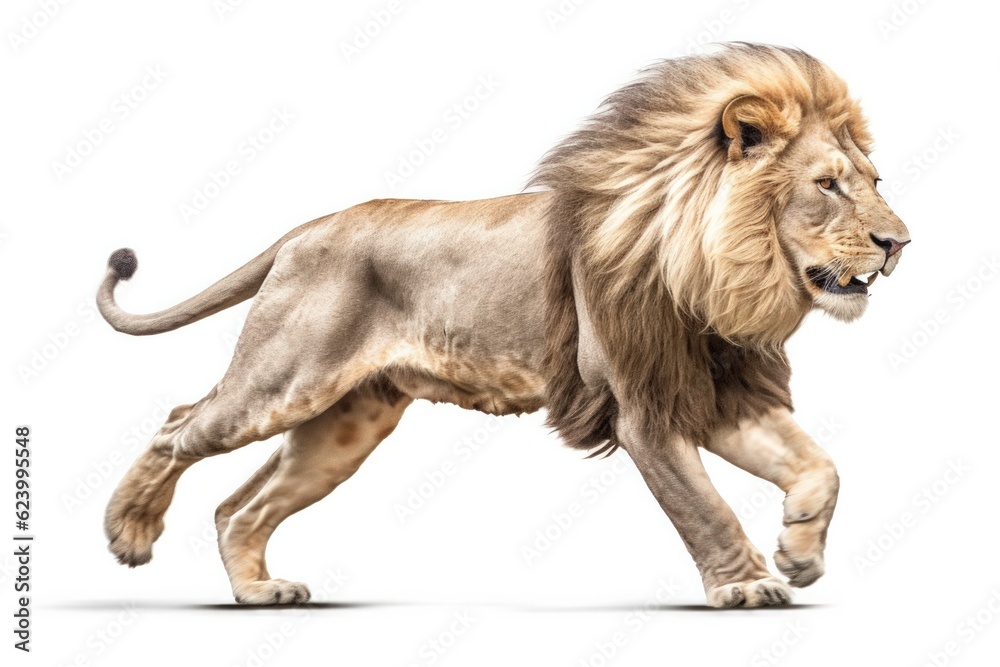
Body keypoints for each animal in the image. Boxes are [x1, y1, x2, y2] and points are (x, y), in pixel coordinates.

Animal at [97, 43, 909, 607]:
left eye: (874, 182)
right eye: (827, 185)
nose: (899, 241)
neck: (723, 280)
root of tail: (306, 229)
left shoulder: (717, 390)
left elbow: (820, 465)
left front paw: (800, 552)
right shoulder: (642, 407)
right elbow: (703, 508)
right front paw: (743, 584)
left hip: (345, 424)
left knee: (240, 504)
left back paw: (258, 591)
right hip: (283, 378)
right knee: (178, 424)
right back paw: (128, 531)